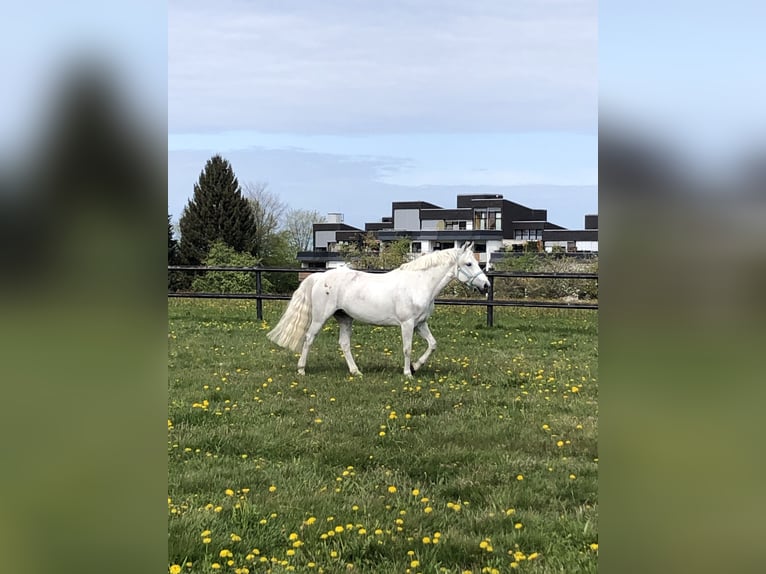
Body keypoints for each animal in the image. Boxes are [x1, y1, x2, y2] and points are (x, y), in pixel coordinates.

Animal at [268, 243, 488, 378]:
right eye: (469, 263)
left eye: (478, 262)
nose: (486, 285)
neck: (419, 284)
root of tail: (319, 277)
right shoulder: (407, 324)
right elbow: (407, 348)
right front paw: (408, 373)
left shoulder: (420, 324)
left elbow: (432, 345)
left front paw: (416, 367)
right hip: (320, 318)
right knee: (308, 338)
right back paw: (302, 370)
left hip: (345, 318)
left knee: (344, 344)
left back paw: (356, 372)